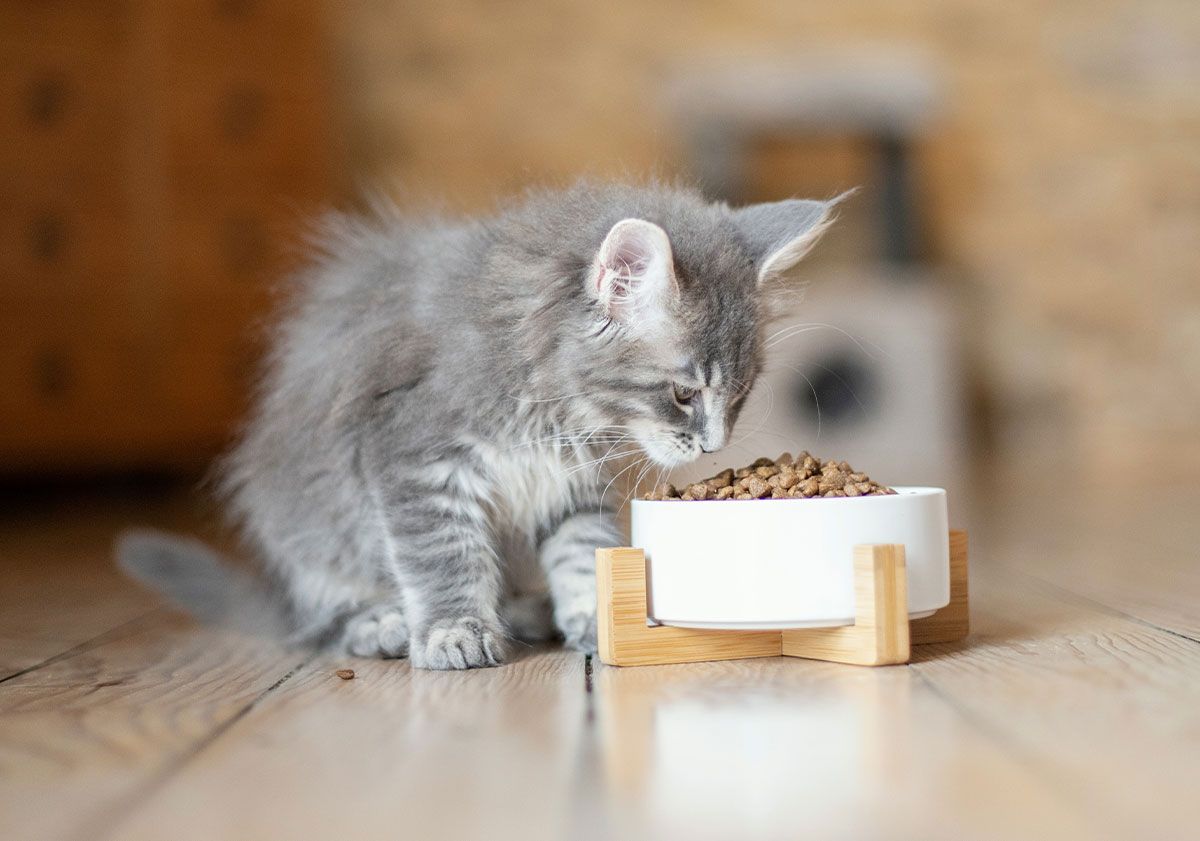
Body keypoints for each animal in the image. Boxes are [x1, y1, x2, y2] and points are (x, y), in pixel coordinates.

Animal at [119, 182, 835, 667]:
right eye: (685, 394)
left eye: (739, 395)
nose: (714, 444)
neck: (549, 402)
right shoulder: (417, 459)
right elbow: (445, 556)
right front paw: (453, 632)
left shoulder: (567, 484)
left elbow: (582, 553)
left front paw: (592, 620)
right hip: (313, 529)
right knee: (325, 610)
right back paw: (382, 625)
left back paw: (526, 611)